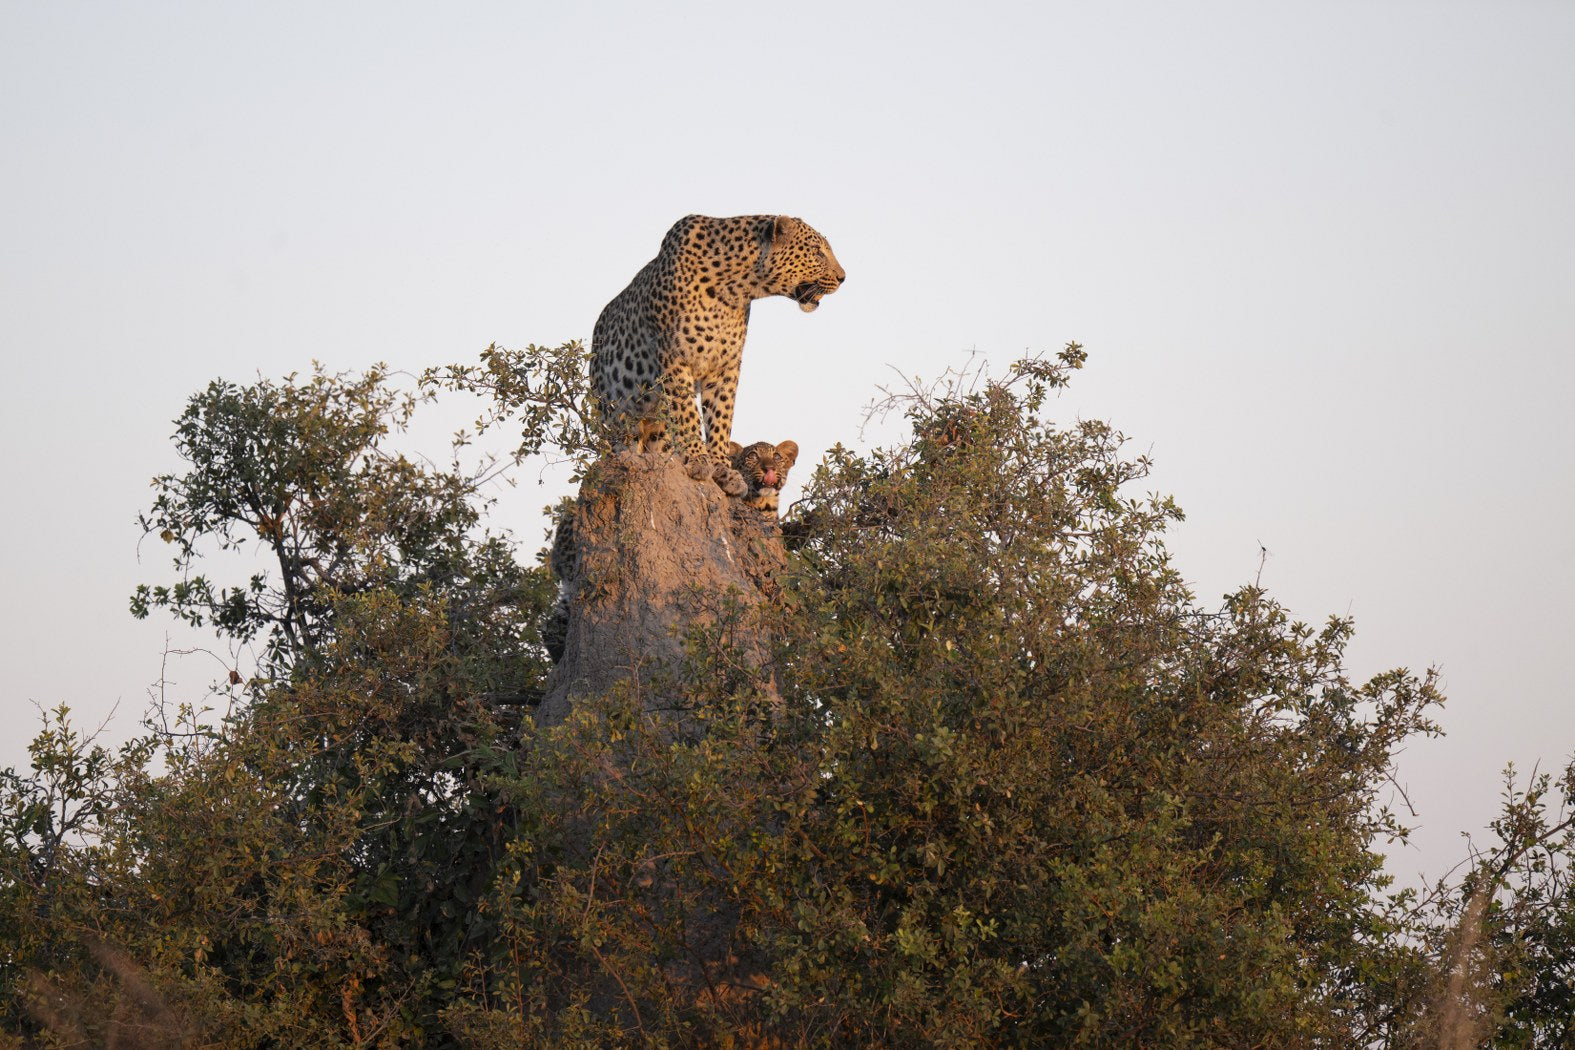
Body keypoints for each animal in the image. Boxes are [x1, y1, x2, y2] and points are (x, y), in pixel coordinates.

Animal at [591, 214, 844, 495]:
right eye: (817, 251)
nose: (843, 277)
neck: (735, 288)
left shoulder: (726, 366)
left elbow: (721, 417)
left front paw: (723, 469)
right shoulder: (674, 357)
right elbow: (688, 413)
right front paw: (698, 459)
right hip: (613, 413)